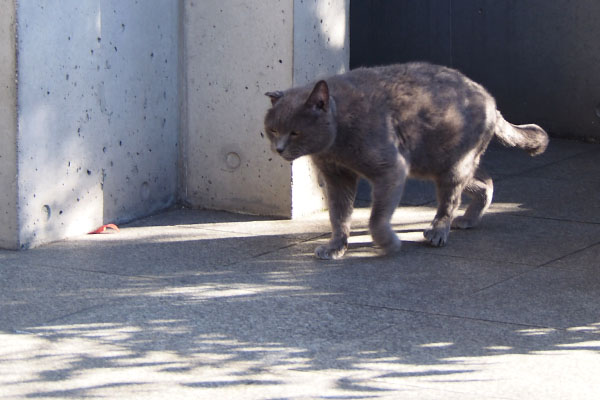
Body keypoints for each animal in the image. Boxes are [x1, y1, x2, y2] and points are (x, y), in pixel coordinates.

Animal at [262, 62, 548, 260]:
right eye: (273, 129)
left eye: (295, 132)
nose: (279, 148)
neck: (337, 139)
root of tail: (491, 100)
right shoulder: (337, 177)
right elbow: (338, 214)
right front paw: (335, 247)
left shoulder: (391, 169)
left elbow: (376, 217)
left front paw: (388, 243)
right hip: (438, 163)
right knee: (485, 181)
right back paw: (468, 219)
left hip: (450, 165)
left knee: (451, 200)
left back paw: (438, 232)